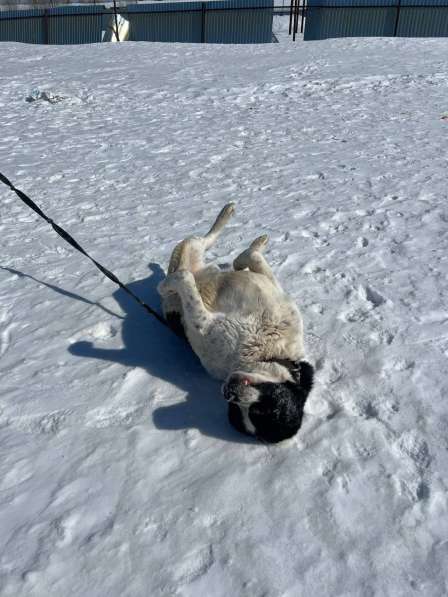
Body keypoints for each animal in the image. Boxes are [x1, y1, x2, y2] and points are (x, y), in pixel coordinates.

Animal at [158, 205, 316, 442]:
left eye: (254, 412)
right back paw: (230, 214)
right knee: (205, 240)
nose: (228, 393)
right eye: (265, 409)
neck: (267, 350)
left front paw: (171, 285)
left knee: (192, 260)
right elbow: (249, 258)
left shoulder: (205, 325)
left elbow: (186, 284)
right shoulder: (279, 296)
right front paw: (250, 252)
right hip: (191, 248)